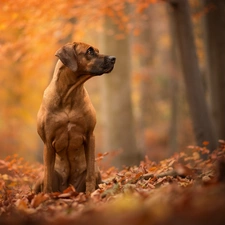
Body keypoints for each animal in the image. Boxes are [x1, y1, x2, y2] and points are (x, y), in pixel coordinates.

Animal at [35, 42, 116, 193]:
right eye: (90, 51)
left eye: (97, 50)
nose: (114, 58)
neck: (68, 95)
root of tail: (68, 188)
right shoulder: (48, 142)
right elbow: (48, 179)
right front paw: (46, 197)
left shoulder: (90, 136)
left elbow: (90, 174)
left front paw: (90, 194)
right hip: (41, 178)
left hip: (95, 172)